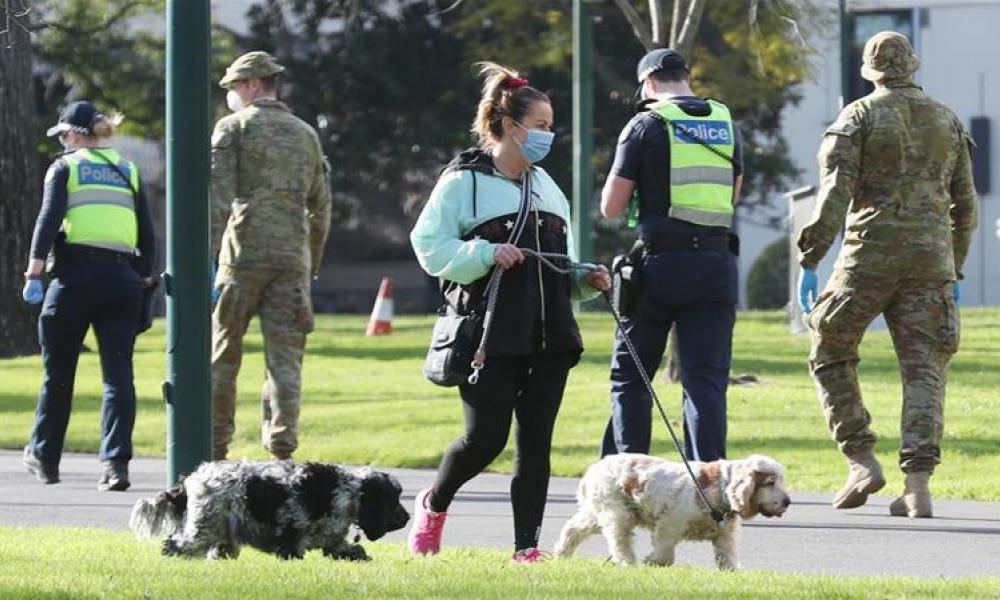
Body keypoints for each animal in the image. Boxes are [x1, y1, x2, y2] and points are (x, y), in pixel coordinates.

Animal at [130, 460, 410, 564]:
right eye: (395, 499)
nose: (408, 518)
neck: (347, 491)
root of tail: (192, 478)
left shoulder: (333, 540)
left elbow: (351, 549)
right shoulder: (291, 533)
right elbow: (292, 551)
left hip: (221, 531)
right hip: (203, 528)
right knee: (175, 544)